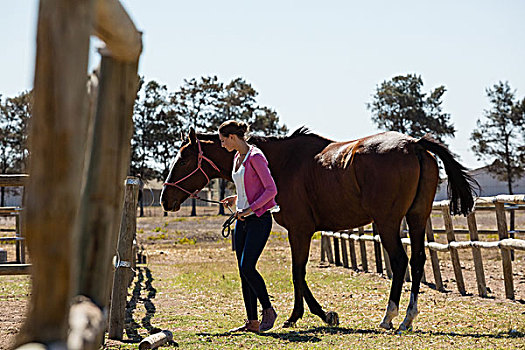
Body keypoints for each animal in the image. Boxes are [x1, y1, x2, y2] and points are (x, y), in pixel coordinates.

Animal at [160, 126, 474, 330]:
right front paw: (312, 314)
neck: (281, 163)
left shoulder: (299, 230)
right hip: (417, 217)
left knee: (400, 262)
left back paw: (389, 317)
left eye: (183, 159)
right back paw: (408, 317)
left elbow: (297, 272)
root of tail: (416, 144)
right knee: (418, 260)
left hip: (387, 222)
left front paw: (305, 315)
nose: (165, 198)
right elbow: (299, 273)